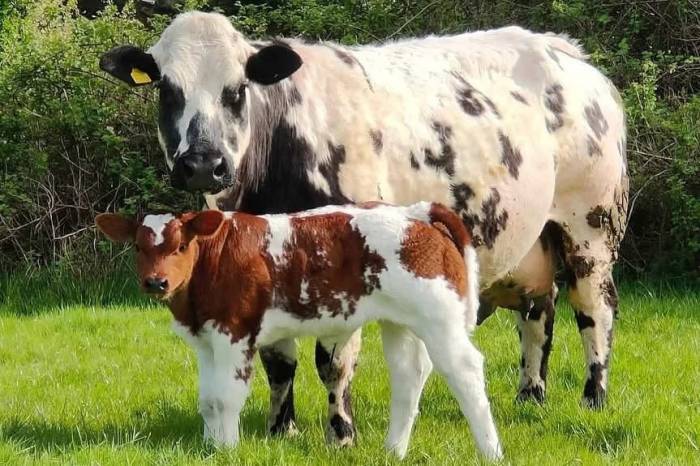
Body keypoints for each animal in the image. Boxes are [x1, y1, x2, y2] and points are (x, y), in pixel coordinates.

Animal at [95, 202, 503, 460]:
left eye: (181, 245)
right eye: (137, 247)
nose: (156, 282)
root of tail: (413, 212)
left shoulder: (234, 334)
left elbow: (226, 398)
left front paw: (226, 450)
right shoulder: (206, 341)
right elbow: (208, 399)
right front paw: (211, 447)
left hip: (441, 319)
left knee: (465, 371)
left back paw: (491, 452)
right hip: (401, 322)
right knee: (409, 374)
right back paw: (393, 451)